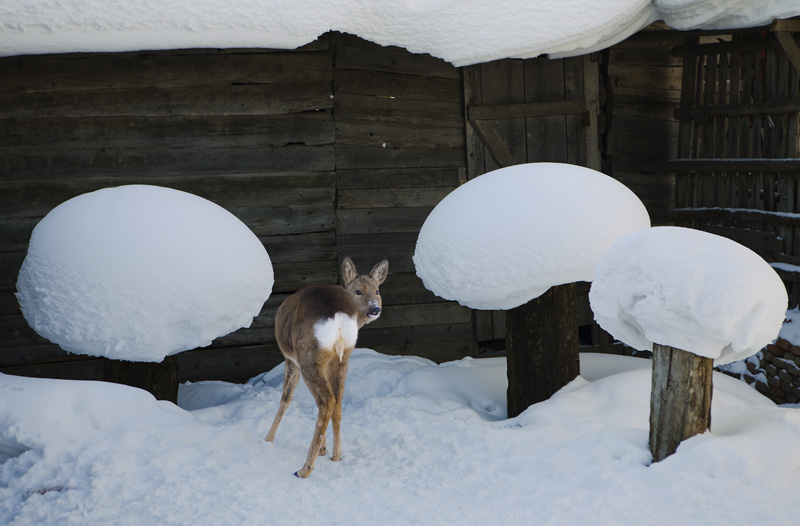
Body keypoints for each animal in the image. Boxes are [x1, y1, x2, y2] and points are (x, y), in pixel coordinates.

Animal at [264, 258, 390, 480]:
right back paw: (336, 455)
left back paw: (304, 469)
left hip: (309, 357)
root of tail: (338, 317)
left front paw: (268, 440)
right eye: (359, 291)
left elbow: (285, 399)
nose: (375, 308)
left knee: (327, 401)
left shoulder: (291, 359)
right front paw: (324, 449)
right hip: (342, 359)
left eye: (377, 291)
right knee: (337, 403)